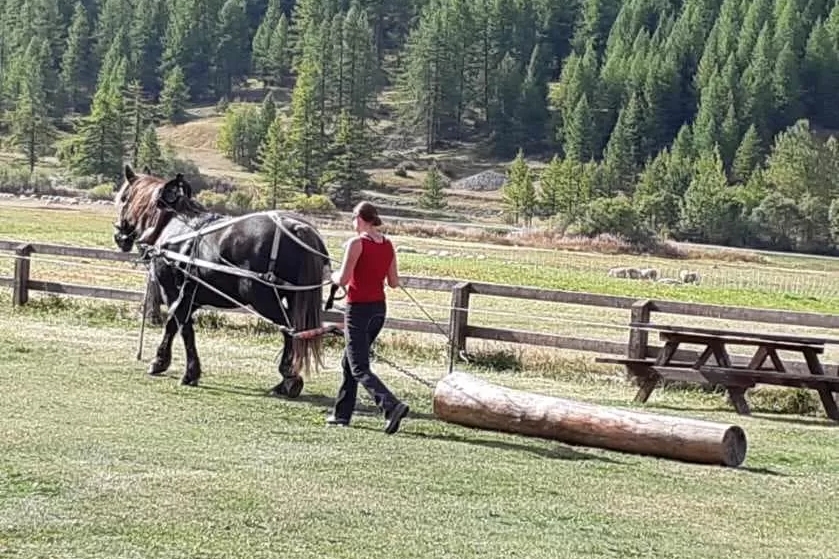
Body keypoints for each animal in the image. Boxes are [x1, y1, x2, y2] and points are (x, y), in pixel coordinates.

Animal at [112, 164, 332, 397]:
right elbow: (173, 325)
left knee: (291, 330)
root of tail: (299, 228)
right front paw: (161, 361)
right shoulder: (188, 296)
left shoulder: (173, 292)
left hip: (264, 300)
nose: (118, 236)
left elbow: (184, 329)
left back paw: (288, 378)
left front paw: (190, 373)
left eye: (124, 198)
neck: (171, 225)